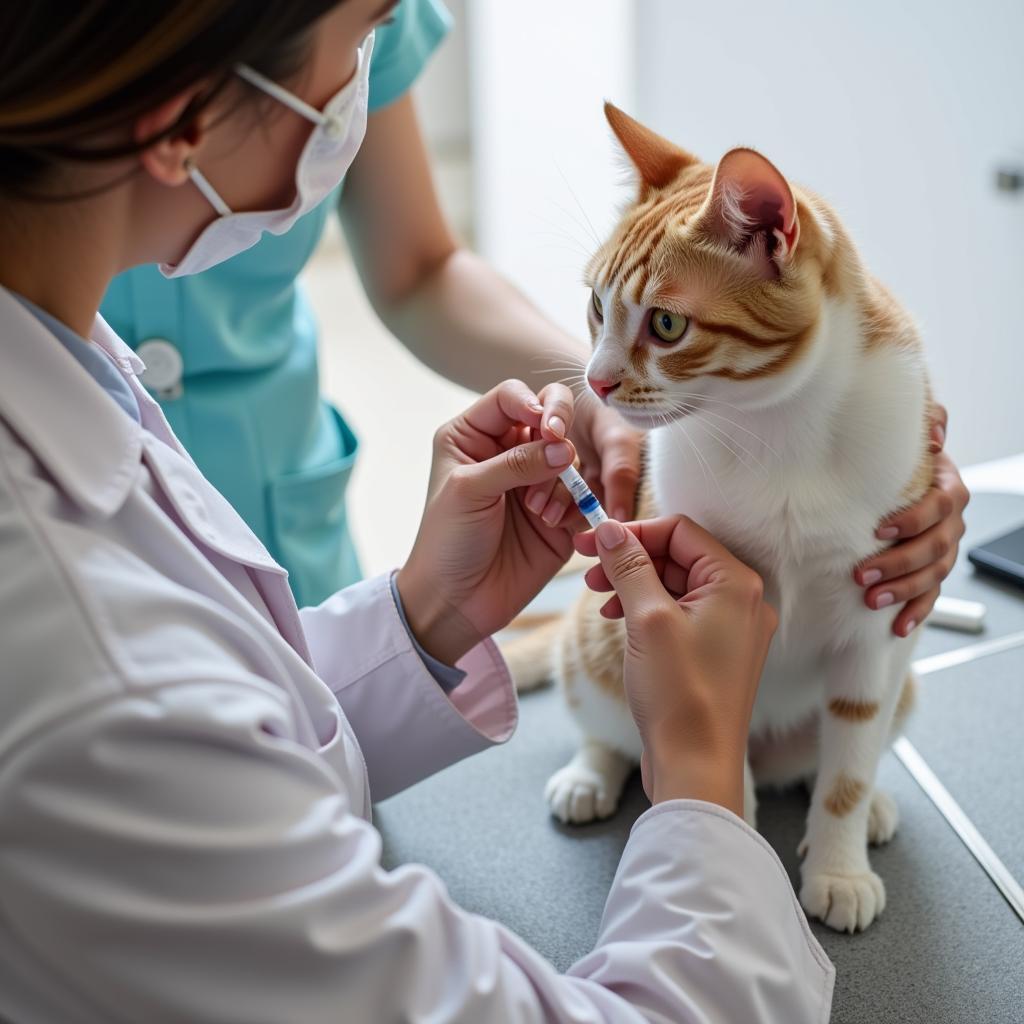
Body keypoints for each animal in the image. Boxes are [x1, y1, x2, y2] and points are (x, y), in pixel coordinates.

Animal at [507, 105, 933, 937]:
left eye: (668, 324)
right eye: (596, 307)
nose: (595, 383)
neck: (777, 427)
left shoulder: (876, 627)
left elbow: (846, 771)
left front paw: (838, 867)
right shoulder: (711, 624)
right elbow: (718, 765)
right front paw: (729, 861)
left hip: (902, 691)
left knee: (839, 760)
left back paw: (867, 810)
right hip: (592, 645)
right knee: (607, 726)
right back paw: (590, 775)